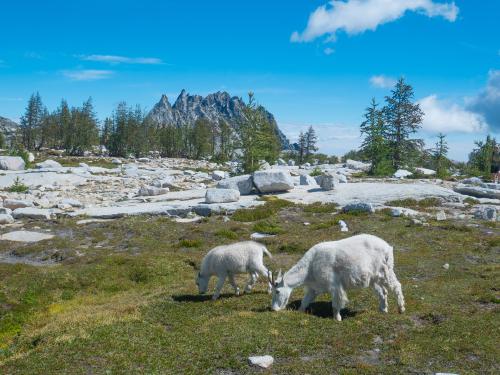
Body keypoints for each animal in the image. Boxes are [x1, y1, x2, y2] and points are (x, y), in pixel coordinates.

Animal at [270, 235, 406, 320]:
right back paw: (383, 310)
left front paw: (337, 318)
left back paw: (401, 308)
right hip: (374, 278)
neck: (310, 267)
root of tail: (388, 247)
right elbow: (305, 301)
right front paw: (299, 312)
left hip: (386, 271)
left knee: (396, 286)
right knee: (383, 291)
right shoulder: (314, 288)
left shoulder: (334, 285)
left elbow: (336, 303)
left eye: (277, 291)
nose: (274, 309)